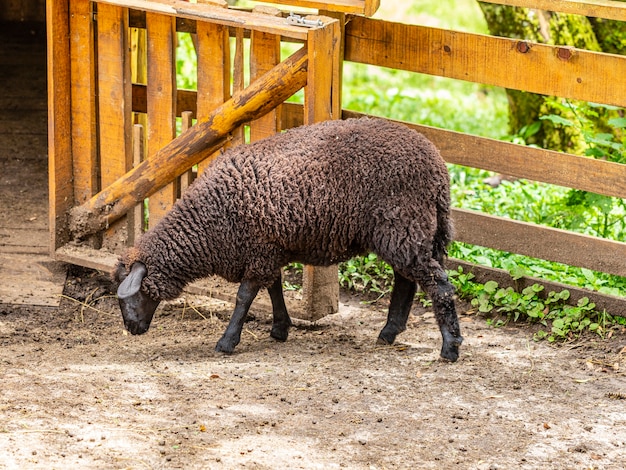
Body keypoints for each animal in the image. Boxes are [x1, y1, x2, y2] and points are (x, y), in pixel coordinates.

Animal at [113, 116, 464, 360]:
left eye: (132, 294)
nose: (130, 329)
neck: (208, 223)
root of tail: (438, 169)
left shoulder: (259, 251)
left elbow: (244, 298)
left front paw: (227, 342)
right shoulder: (269, 249)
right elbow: (275, 289)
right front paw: (280, 328)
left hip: (402, 226)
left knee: (438, 285)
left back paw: (450, 347)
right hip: (409, 232)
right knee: (408, 280)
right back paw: (389, 332)